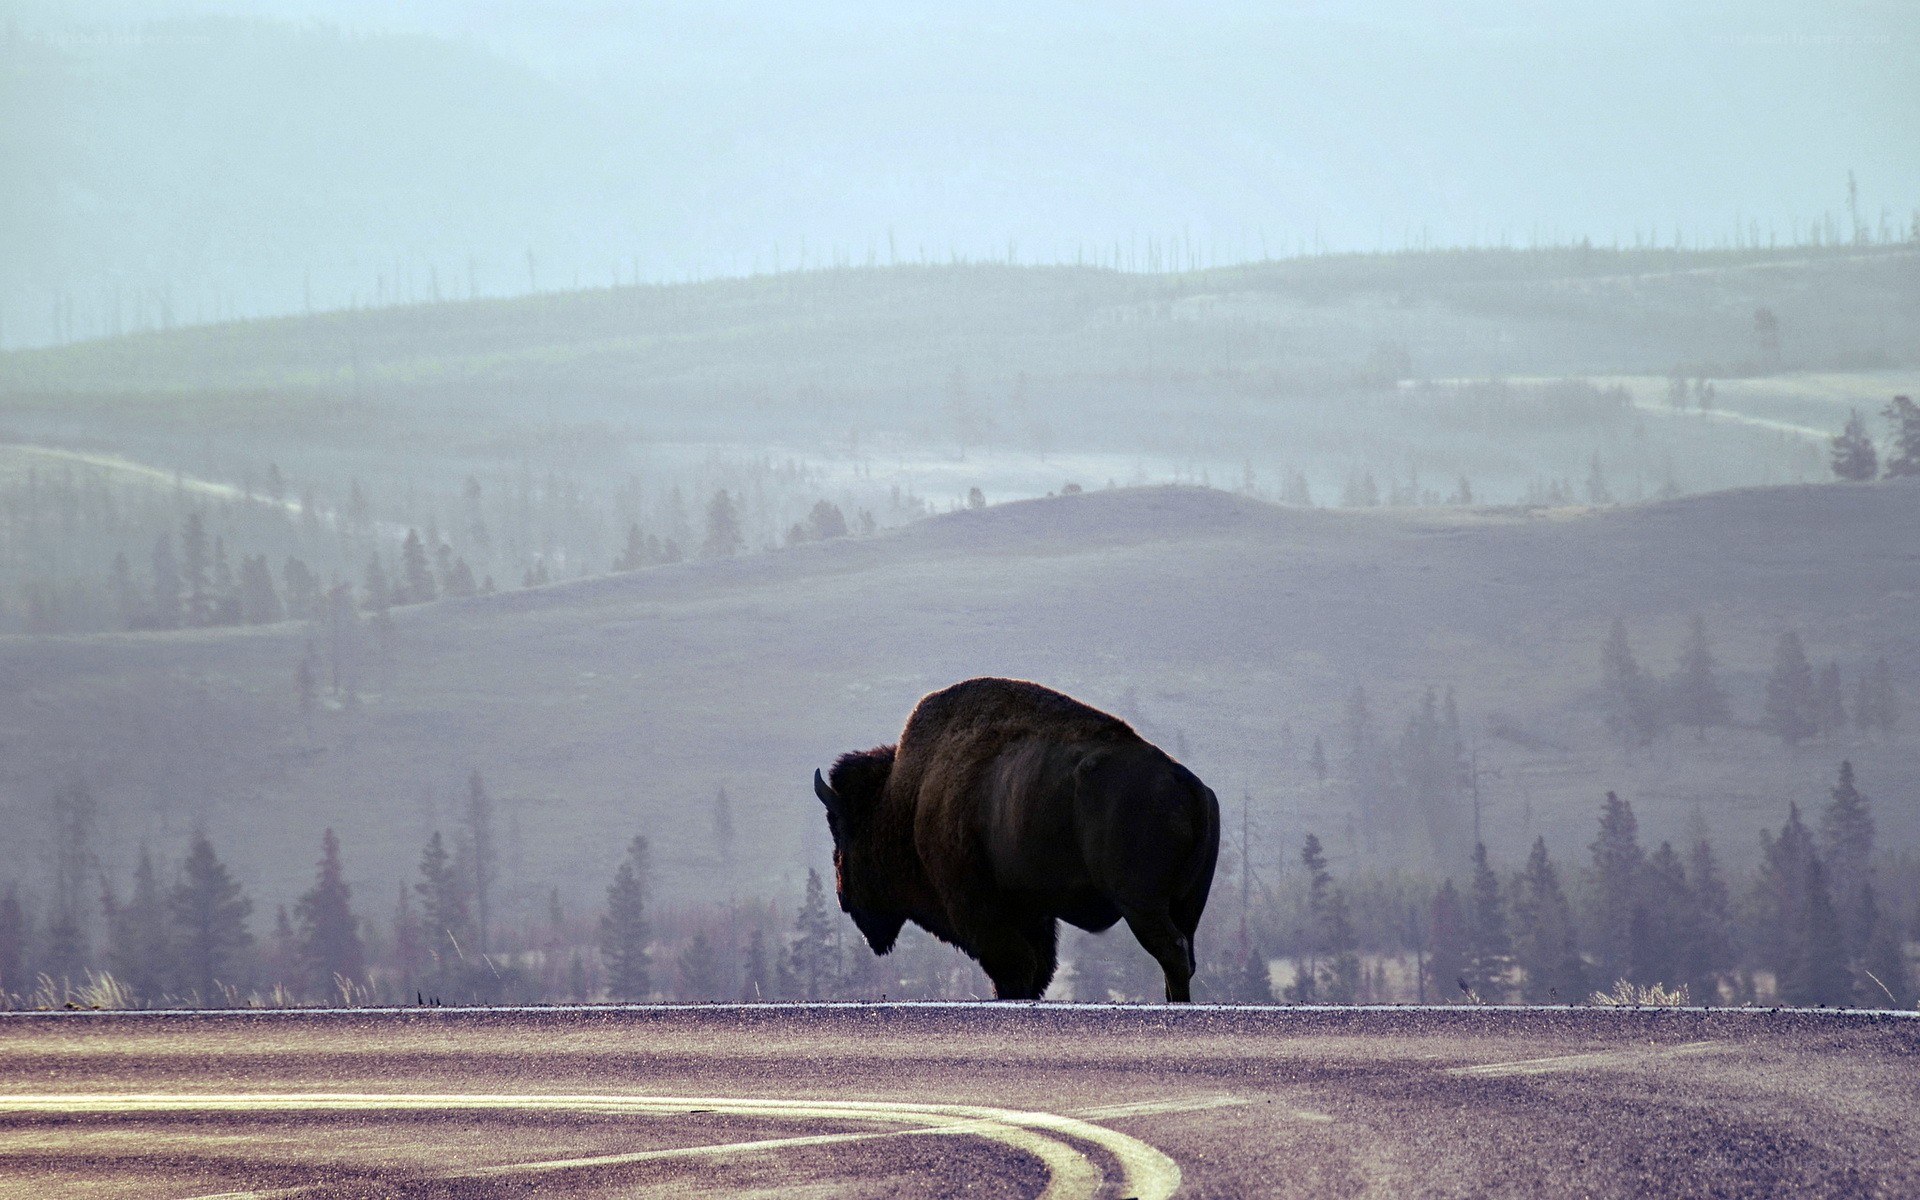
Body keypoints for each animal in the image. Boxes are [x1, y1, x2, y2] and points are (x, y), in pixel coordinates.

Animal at [812, 677, 1220, 1001]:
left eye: (842, 829)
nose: (843, 898)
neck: (905, 798)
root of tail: (1189, 784)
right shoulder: (1032, 915)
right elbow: (1035, 968)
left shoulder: (981, 911)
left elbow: (1014, 968)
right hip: (1185, 904)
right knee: (1184, 955)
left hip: (1141, 903)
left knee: (1171, 952)